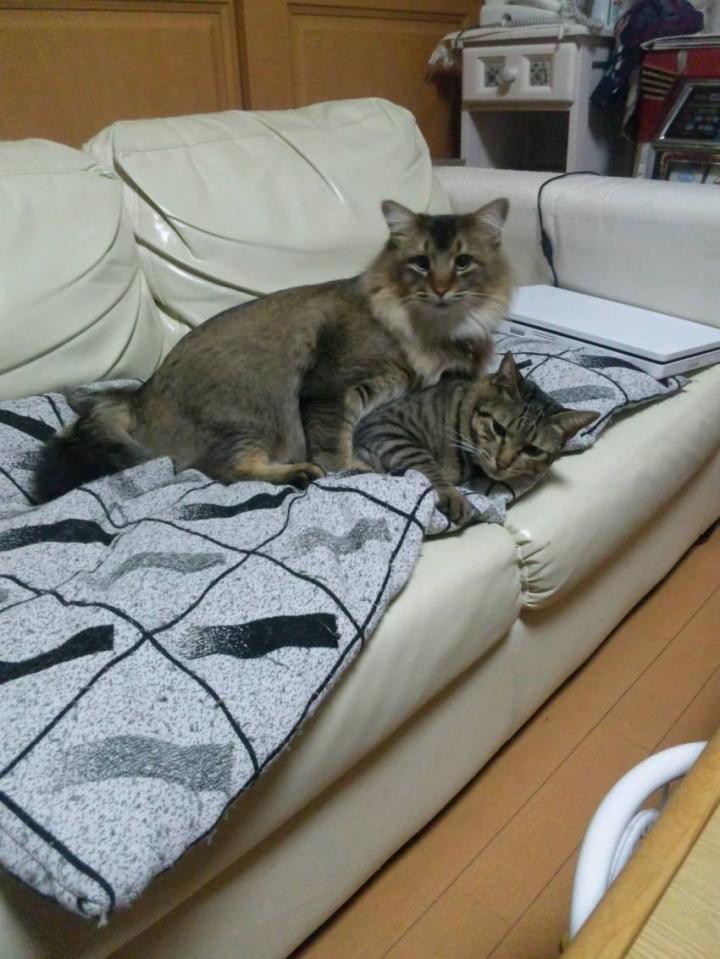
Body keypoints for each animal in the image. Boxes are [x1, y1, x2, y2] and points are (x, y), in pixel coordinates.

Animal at [34, 198, 512, 502]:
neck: (434, 332)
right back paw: (298, 473)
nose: (441, 289)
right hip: (253, 416)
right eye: (421, 264)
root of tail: (138, 396)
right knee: (225, 470)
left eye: (463, 263)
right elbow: (335, 450)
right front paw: (352, 469)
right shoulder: (331, 390)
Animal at [354, 351, 599, 527]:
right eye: (498, 428)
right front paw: (454, 496)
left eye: (532, 450)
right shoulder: (384, 426)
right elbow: (426, 462)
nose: (502, 463)